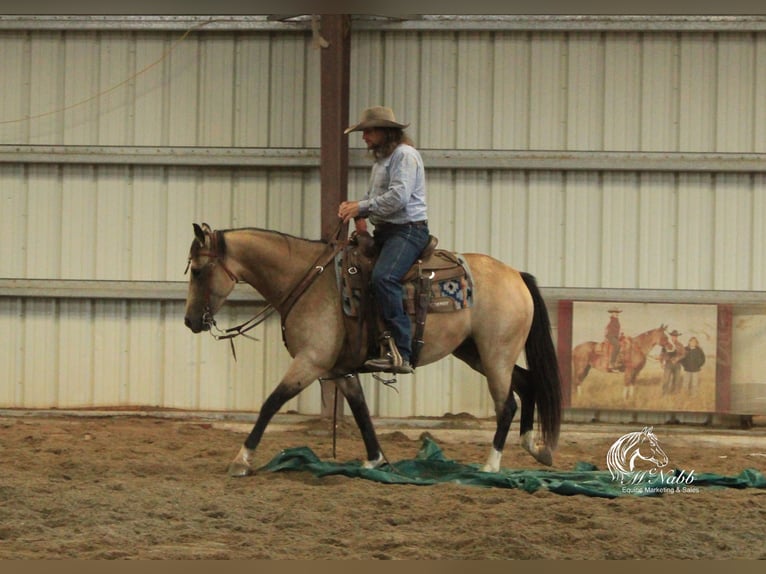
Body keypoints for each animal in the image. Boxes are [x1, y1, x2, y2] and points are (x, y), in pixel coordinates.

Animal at [183, 223, 560, 480]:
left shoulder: (310, 362)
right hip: (476, 352)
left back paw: (491, 465)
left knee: (506, 404)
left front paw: (241, 460)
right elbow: (361, 410)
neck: (308, 281)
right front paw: (375, 459)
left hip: (496, 354)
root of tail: (516, 275)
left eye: (199, 271)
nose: (189, 321)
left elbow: (271, 402)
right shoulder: (339, 369)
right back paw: (535, 448)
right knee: (526, 384)